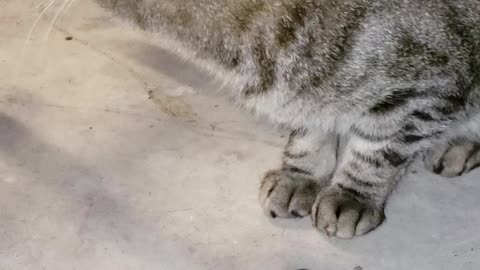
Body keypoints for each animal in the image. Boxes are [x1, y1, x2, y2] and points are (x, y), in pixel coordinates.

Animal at [94, 0, 480, 238]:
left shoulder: (429, 90)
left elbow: (377, 153)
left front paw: (352, 195)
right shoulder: (309, 93)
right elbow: (311, 132)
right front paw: (301, 175)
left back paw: (460, 145)